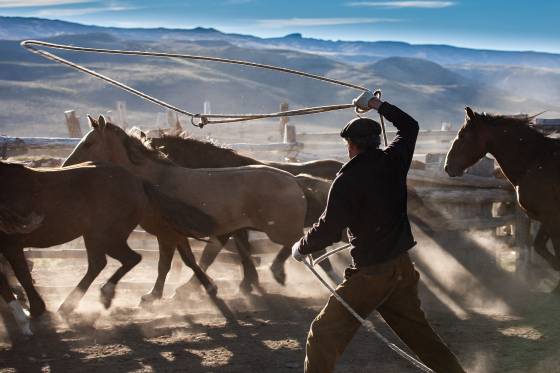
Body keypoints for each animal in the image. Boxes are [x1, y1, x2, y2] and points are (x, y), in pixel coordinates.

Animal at [0, 161, 215, 322]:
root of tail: (137, 182)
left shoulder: (12, 245)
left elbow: (22, 275)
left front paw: (36, 309)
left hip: (104, 236)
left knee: (124, 259)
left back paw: (90, 298)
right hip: (98, 236)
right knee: (107, 262)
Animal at [63, 116, 308, 302]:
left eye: (88, 143)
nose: (66, 166)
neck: (157, 179)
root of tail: (293, 180)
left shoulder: (166, 234)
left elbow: (165, 264)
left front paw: (153, 295)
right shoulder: (177, 234)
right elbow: (189, 261)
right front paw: (195, 289)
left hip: (278, 230)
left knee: (297, 243)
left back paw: (278, 272)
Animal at [446, 107, 560, 294]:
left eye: (462, 136)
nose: (448, 167)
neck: (535, 161)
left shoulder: (552, 217)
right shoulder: (546, 217)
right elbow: (539, 246)